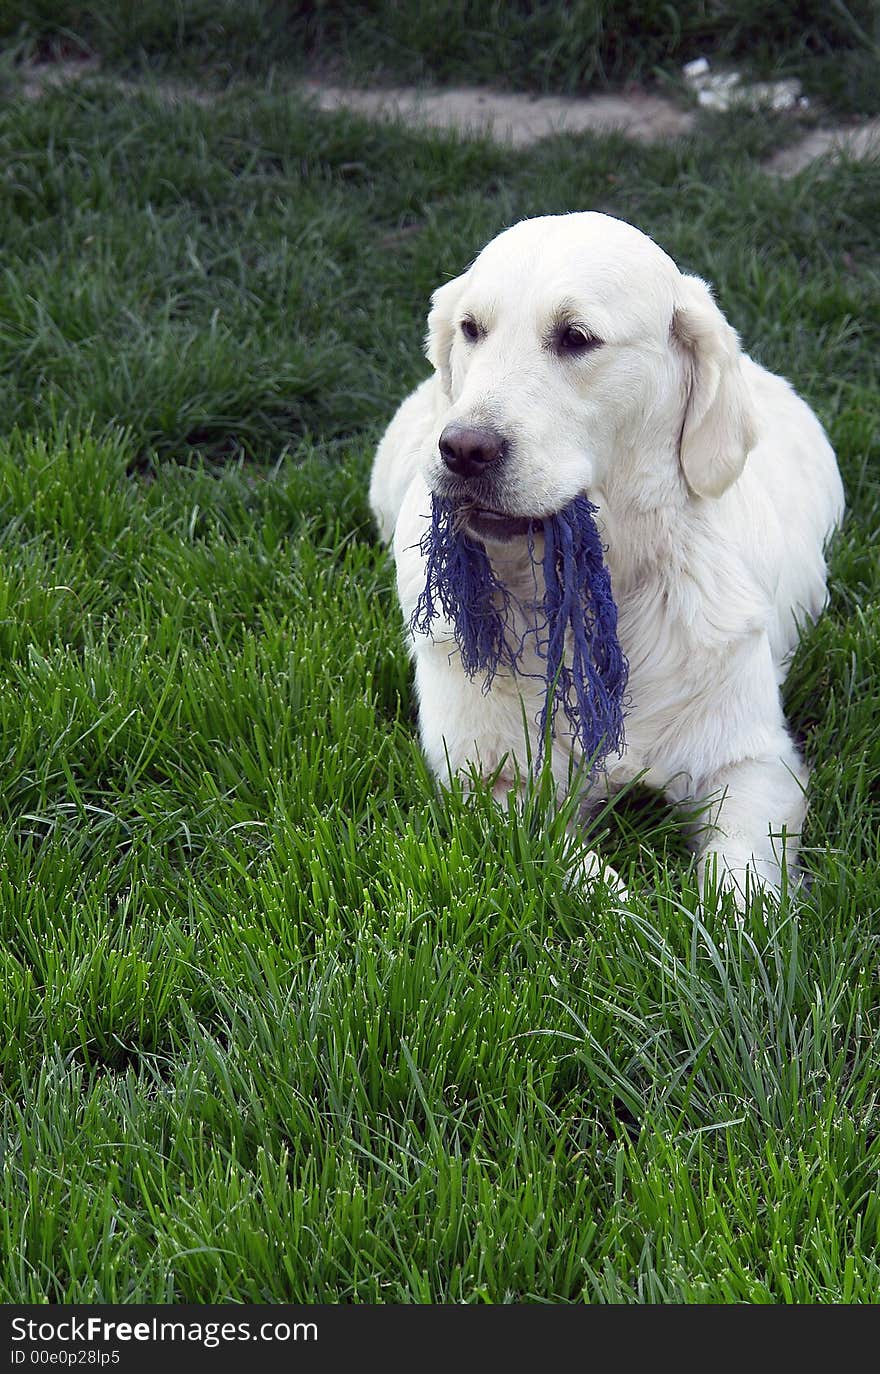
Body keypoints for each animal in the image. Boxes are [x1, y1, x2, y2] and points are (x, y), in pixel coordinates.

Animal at [368, 211, 841, 901]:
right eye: (472, 329)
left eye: (576, 337)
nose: (462, 449)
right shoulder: (491, 779)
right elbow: (591, 887)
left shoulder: (753, 759)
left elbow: (742, 881)